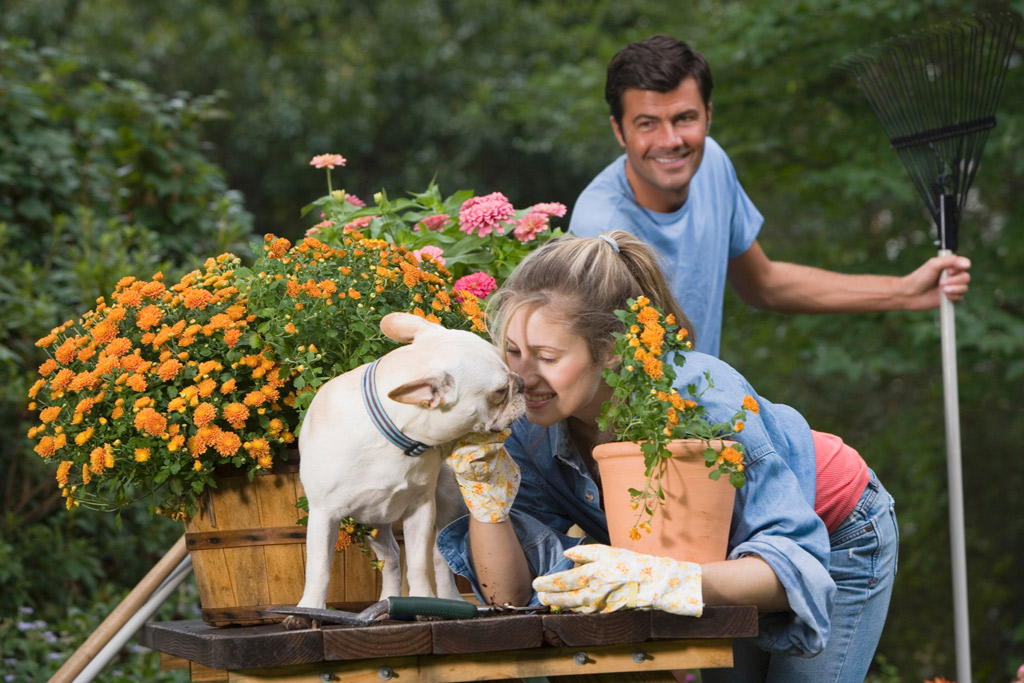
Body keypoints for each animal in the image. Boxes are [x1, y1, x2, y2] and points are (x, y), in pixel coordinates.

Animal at [288, 313, 528, 626]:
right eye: (500, 391)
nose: (522, 382)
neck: (391, 434)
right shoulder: (323, 514)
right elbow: (318, 569)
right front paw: (307, 610)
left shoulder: (421, 508)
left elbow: (417, 563)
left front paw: (423, 602)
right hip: (369, 522)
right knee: (390, 556)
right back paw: (386, 603)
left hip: (447, 504)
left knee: (438, 558)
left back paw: (445, 600)